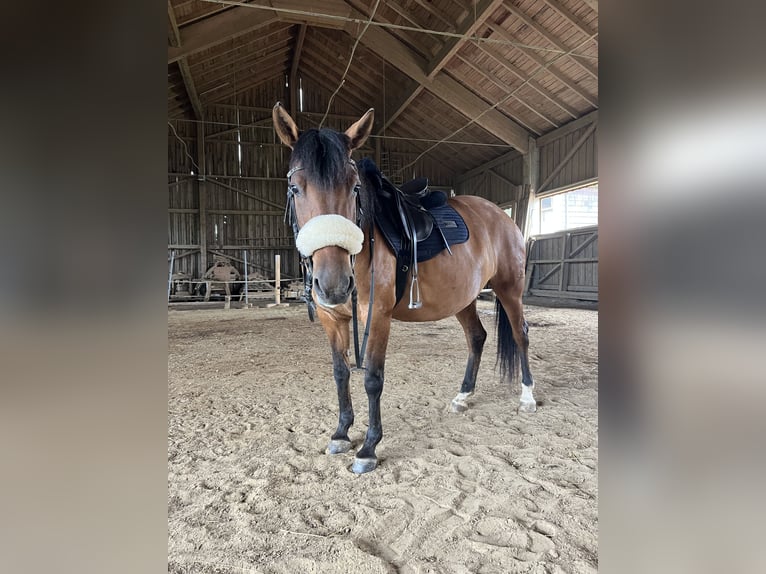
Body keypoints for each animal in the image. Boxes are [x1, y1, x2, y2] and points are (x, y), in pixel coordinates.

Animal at [272, 103, 536, 476]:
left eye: (354, 188)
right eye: (295, 188)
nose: (334, 284)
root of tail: (502, 215)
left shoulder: (377, 316)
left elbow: (372, 378)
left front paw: (368, 448)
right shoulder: (332, 319)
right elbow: (341, 373)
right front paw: (341, 433)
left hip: (509, 288)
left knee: (520, 333)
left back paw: (527, 396)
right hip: (463, 299)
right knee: (477, 337)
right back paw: (462, 396)